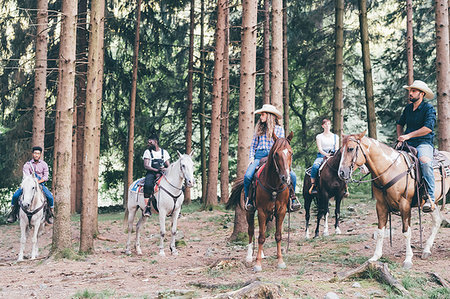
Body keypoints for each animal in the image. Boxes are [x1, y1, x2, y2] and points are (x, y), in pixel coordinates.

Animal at [227, 132, 294, 274]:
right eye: (276, 154)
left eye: (290, 152)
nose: (286, 178)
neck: (274, 184)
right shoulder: (262, 211)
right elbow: (261, 236)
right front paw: (257, 263)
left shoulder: (281, 211)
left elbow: (278, 235)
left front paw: (280, 261)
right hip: (250, 212)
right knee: (251, 231)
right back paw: (249, 257)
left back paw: (262, 253)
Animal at [338, 131, 450, 270]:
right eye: (341, 150)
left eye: (351, 149)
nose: (341, 173)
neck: (390, 169)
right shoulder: (381, 205)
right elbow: (380, 231)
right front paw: (375, 257)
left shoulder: (405, 204)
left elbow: (406, 232)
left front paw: (408, 259)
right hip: (431, 203)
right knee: (437, 221)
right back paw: (426, 250)